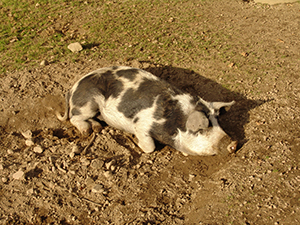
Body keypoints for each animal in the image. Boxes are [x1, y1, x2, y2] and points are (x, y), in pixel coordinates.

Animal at [56, 66, 238, 156]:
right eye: (202, 127)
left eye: (217, 122)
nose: (233, 144)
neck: (173, 121)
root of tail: (73, 88)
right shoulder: (141, 124)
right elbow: (150, 147)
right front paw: (135, 142)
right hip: (87, 103)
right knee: (74, 118)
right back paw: (87, 131)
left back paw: (97, 127)